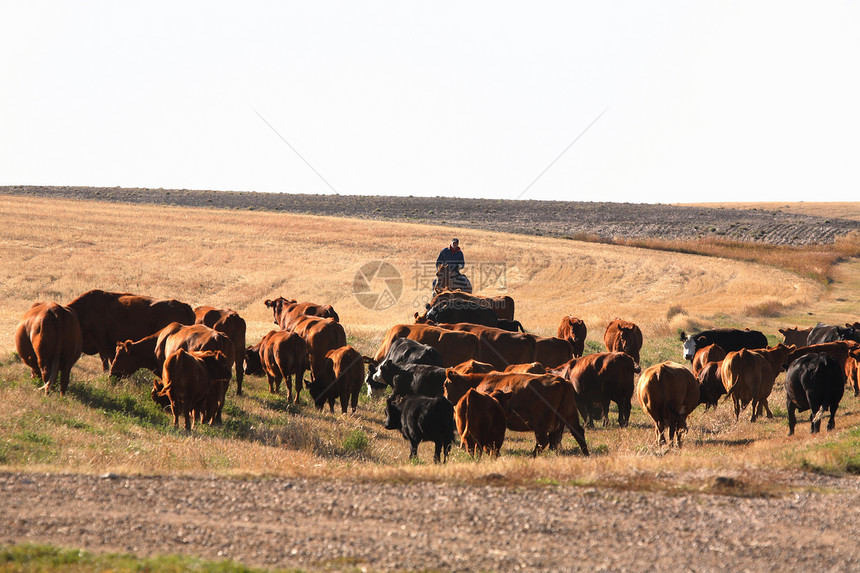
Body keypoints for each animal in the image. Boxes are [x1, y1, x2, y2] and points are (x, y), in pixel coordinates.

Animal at [444, 370, 592, 456]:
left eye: (445, 385)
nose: (445, 399)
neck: (479, 382)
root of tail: (561, 381)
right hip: (570, 416)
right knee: (577, 432)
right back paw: (586, 453)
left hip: (541, 423)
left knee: (543, 441)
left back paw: (533, 455)